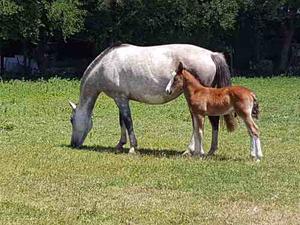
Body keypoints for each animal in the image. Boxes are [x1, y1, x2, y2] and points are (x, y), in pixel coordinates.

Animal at [69, 43, 233, 156]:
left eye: (71, 120)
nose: (73, 144)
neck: (106, 64)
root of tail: (211, 55)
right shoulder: (121, 98)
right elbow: (122, 121)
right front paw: (120, 144)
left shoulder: (121, 99)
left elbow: (128, 121)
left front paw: (132, 148)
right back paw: (210, 150)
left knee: (202, 122)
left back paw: (191, 150)